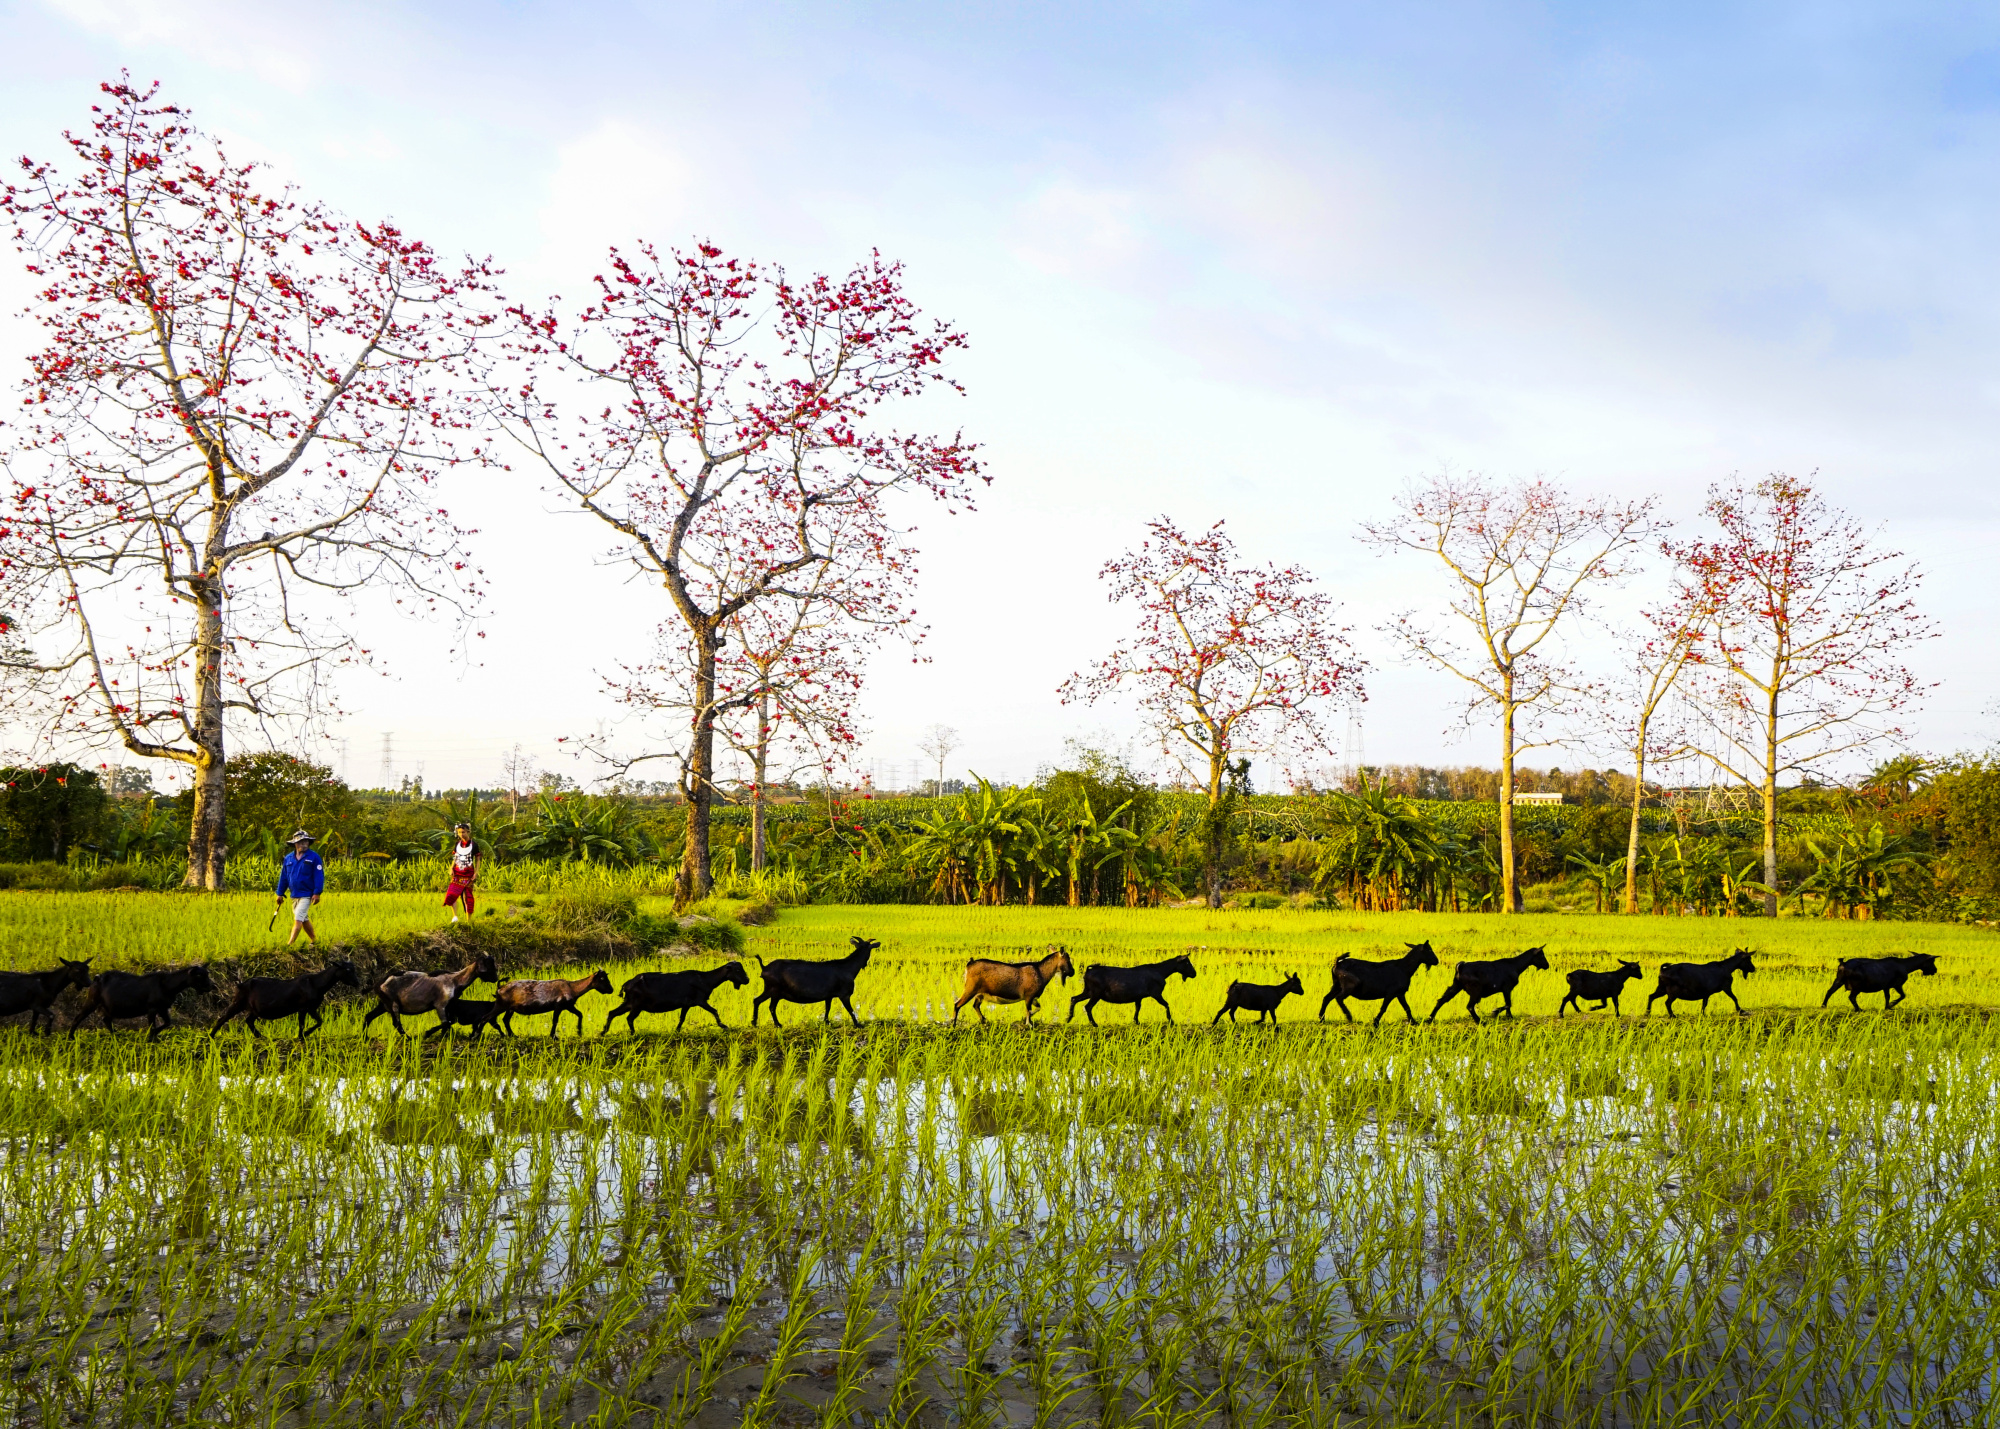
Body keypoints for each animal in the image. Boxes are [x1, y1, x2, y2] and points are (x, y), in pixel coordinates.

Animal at [72, 964, 215, 1040]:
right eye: (199, 975)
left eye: (207, 974)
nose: (211, 986)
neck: (168, 985)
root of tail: (97, 977)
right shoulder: (152, 1008)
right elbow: (152, 1025)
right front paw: (151, 1039)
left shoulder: (163, 1008)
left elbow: (168, 1022)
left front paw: (155, 1036)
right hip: (92, 1001)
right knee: (78, 1017)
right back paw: (71, 1037)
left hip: (110, 1007)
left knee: (106, 1020)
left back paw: (116, 1036)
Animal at [211, 956, 360, 1032]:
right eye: (347, 970)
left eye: (354, 969)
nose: (357, 982)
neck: (317, 984)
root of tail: (240, 983)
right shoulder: (305, 1008)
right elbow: (309, 1023)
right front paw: (304, 1035)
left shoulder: (310, 1008)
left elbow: (317, 1022)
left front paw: (303, 1037)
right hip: (238, 1003)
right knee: (222, 1019)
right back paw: (211, 1039)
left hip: (254, 1009)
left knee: (249, 1020)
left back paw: (260, 1036)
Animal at [600, 964, 752, 1032]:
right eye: (738, 969)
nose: (747, 980)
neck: (705, 979)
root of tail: (627, 984)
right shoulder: (700, 1000)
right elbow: (714, 1010)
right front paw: (724, 1026)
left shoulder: (686, 1004)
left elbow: (682, 1018)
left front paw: (677, 1030)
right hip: (637, 1005)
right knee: (629, 1018)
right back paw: (633, 1033)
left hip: (629, 1003)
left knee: (612, 1013)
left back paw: (604, 1032)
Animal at [1312, 940, 1440, 1016]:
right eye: (1429, 949)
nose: (1437, 961)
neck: (1404, 968)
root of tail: (1337, 964)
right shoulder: (1391, 993)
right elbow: (1383, 1008)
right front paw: (1375, 1022)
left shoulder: (1400, 993)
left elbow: (1407, 1008)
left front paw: (1414, 1022)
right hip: (1349, 984)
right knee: (1339, 998)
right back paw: (1349, 1017)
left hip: (1336, 985)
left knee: (1326, 998)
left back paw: (1321, 1018)